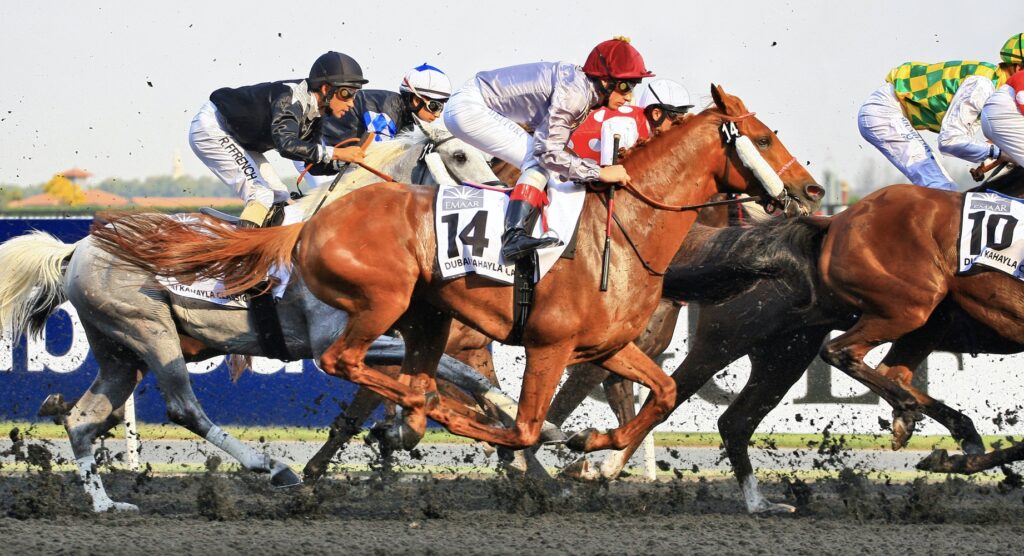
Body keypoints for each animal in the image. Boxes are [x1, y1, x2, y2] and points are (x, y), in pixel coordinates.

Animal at [90, 86, 823, 452]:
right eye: (763, 137)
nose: (812, 190)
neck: (620, 232)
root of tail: (310, 225)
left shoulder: (606, 345)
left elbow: (664, 394)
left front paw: (591, 447)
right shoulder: (550, 344)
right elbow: (522, 425)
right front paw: (539, 442)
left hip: (424, 317)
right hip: (376, 307)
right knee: (342, 364)